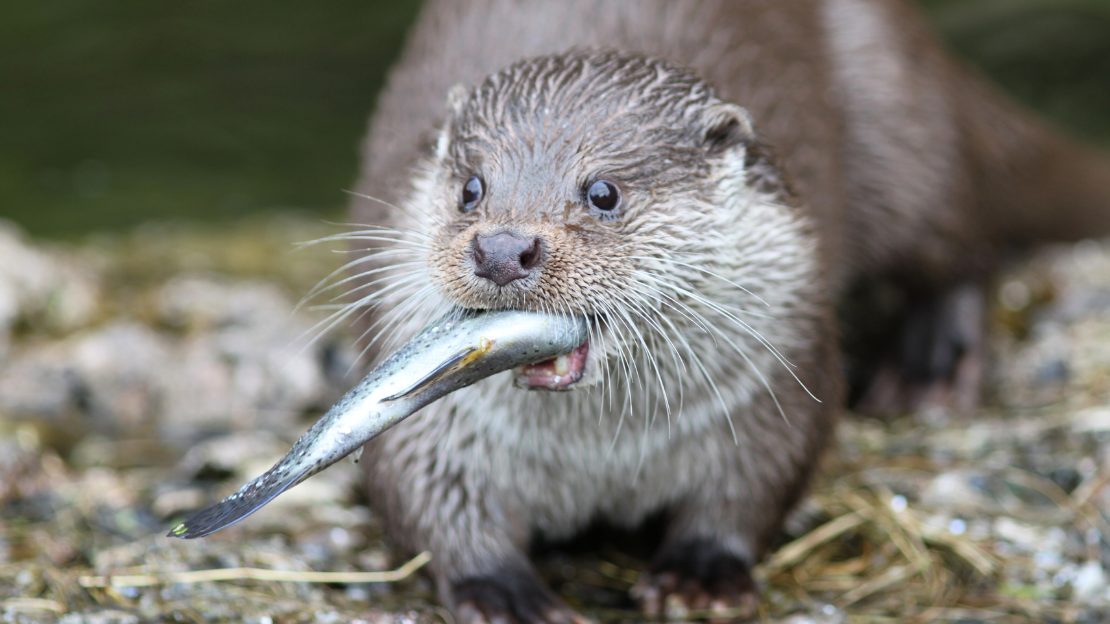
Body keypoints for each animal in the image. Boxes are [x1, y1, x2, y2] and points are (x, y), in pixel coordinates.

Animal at [343, 1, 1110, 621]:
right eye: (471, 189)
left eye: (603, 192)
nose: (503, 248)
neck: (602, 453)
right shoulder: (434, 425)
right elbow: (424, 497)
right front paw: (502, 592)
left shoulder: (778, 372)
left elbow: (757, 482)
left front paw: (701, 576)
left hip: (900, 126)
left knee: (962, 238)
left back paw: (933, 366)